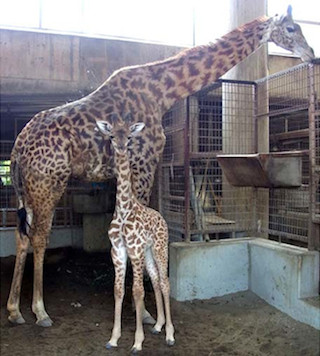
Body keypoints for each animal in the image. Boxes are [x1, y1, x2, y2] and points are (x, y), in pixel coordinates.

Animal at [8, 6, 316, 328]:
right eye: (292, 28)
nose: (311, 54)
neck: (163, 91)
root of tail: (18, 148)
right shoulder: (143, 163)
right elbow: (138, 234)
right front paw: (143, 311)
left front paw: (139, 306)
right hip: (49, 183)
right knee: (39, 236)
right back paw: (40, 311)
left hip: (26, 189)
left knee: (22, 235)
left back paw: (15, 311)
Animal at [97, 117, 175, 354]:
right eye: (112, 135)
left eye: (129, 136)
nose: (122, 147)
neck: (123, 209)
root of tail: (162, 218)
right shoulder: (118, 251)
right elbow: (118, 290)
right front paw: (114, 338)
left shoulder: (135, 249)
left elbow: (138, 291)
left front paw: (138, 341)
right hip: (149, 253)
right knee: (157, 280)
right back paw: (158, 326)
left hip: (159, 248)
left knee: (165, 281)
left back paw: (170, 334)